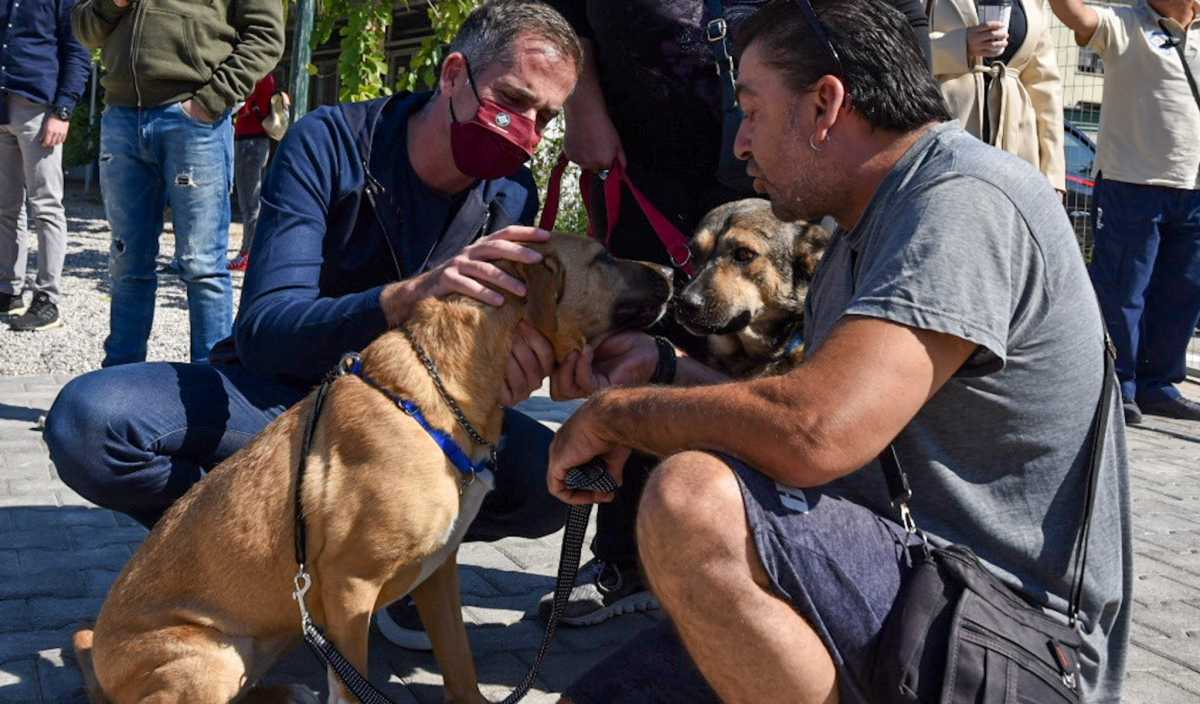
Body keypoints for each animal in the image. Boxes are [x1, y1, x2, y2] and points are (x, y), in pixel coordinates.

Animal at [72, 235, 676, 704]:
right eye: (604, 256)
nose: (675, 269)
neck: (439, 396)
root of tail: (96, 663)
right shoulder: (350, 588)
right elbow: (353, 686)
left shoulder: (440, 573)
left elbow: (460, 664)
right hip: (211, 658)